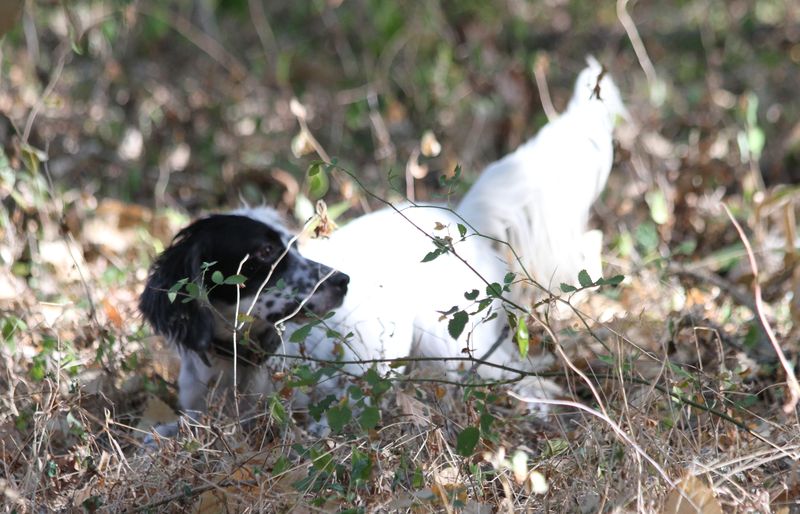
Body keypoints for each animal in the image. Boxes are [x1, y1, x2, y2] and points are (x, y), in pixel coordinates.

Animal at [139, 58, 625, 437]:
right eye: (262, 255)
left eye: (292, 245)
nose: (342, 281)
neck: (241, 361)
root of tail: (455, 217)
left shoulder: (342, 402)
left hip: (455, 348)